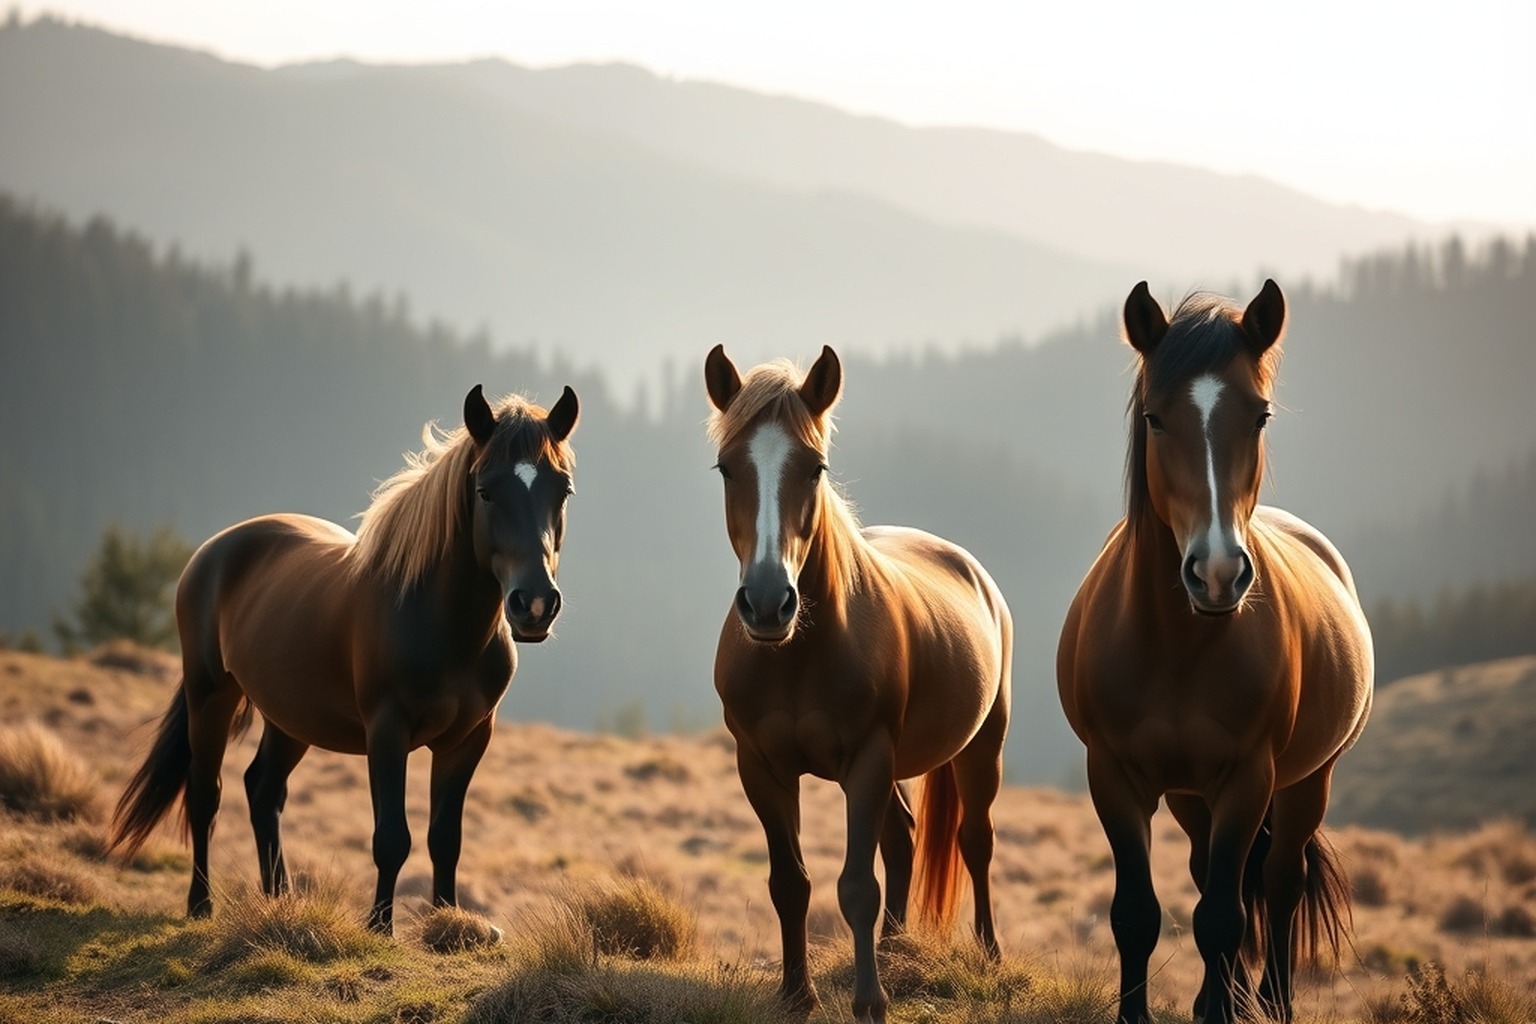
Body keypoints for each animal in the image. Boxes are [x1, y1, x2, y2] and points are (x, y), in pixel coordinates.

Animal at [108, 384, 579, 935]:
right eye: (485, 491)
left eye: (562, 491)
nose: (535, 605)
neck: (440, 623)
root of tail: (213, 550)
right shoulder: (387, 730)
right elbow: (392, 838)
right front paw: (379, 928)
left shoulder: (468, 739)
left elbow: (446, 839)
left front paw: (447, 927)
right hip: (210, 694)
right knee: (207, 793)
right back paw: (201, 906)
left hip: (289, 718)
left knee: (263, 790)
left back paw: (280, 901)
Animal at [704, 344, 1013, 1023]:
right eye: (726, 469)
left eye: (814, 468)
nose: (767, 604)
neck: (797, 657)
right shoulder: (760, 766)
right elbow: (790, 883)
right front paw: (797, 993)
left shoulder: (867, 758)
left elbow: (856, 887)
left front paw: (870, 1001)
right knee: (902, 836)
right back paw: (897, 951)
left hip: (982, 747)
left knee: (974, 841)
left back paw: (988, 954)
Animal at [1057, 280, 1373, 1024]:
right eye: (1155, 419)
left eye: (1258, 417)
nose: (1219, 572)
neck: (1178, 647)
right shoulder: (1114, 777)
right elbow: (1138, 914)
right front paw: (1146, 1012)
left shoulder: (1249, 779)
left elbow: (1226, 917)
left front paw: (1229, 1008)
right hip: (1190, 794)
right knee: (1211, 874)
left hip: (1305, 782)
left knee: (1279, 881)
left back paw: (1271, 999)